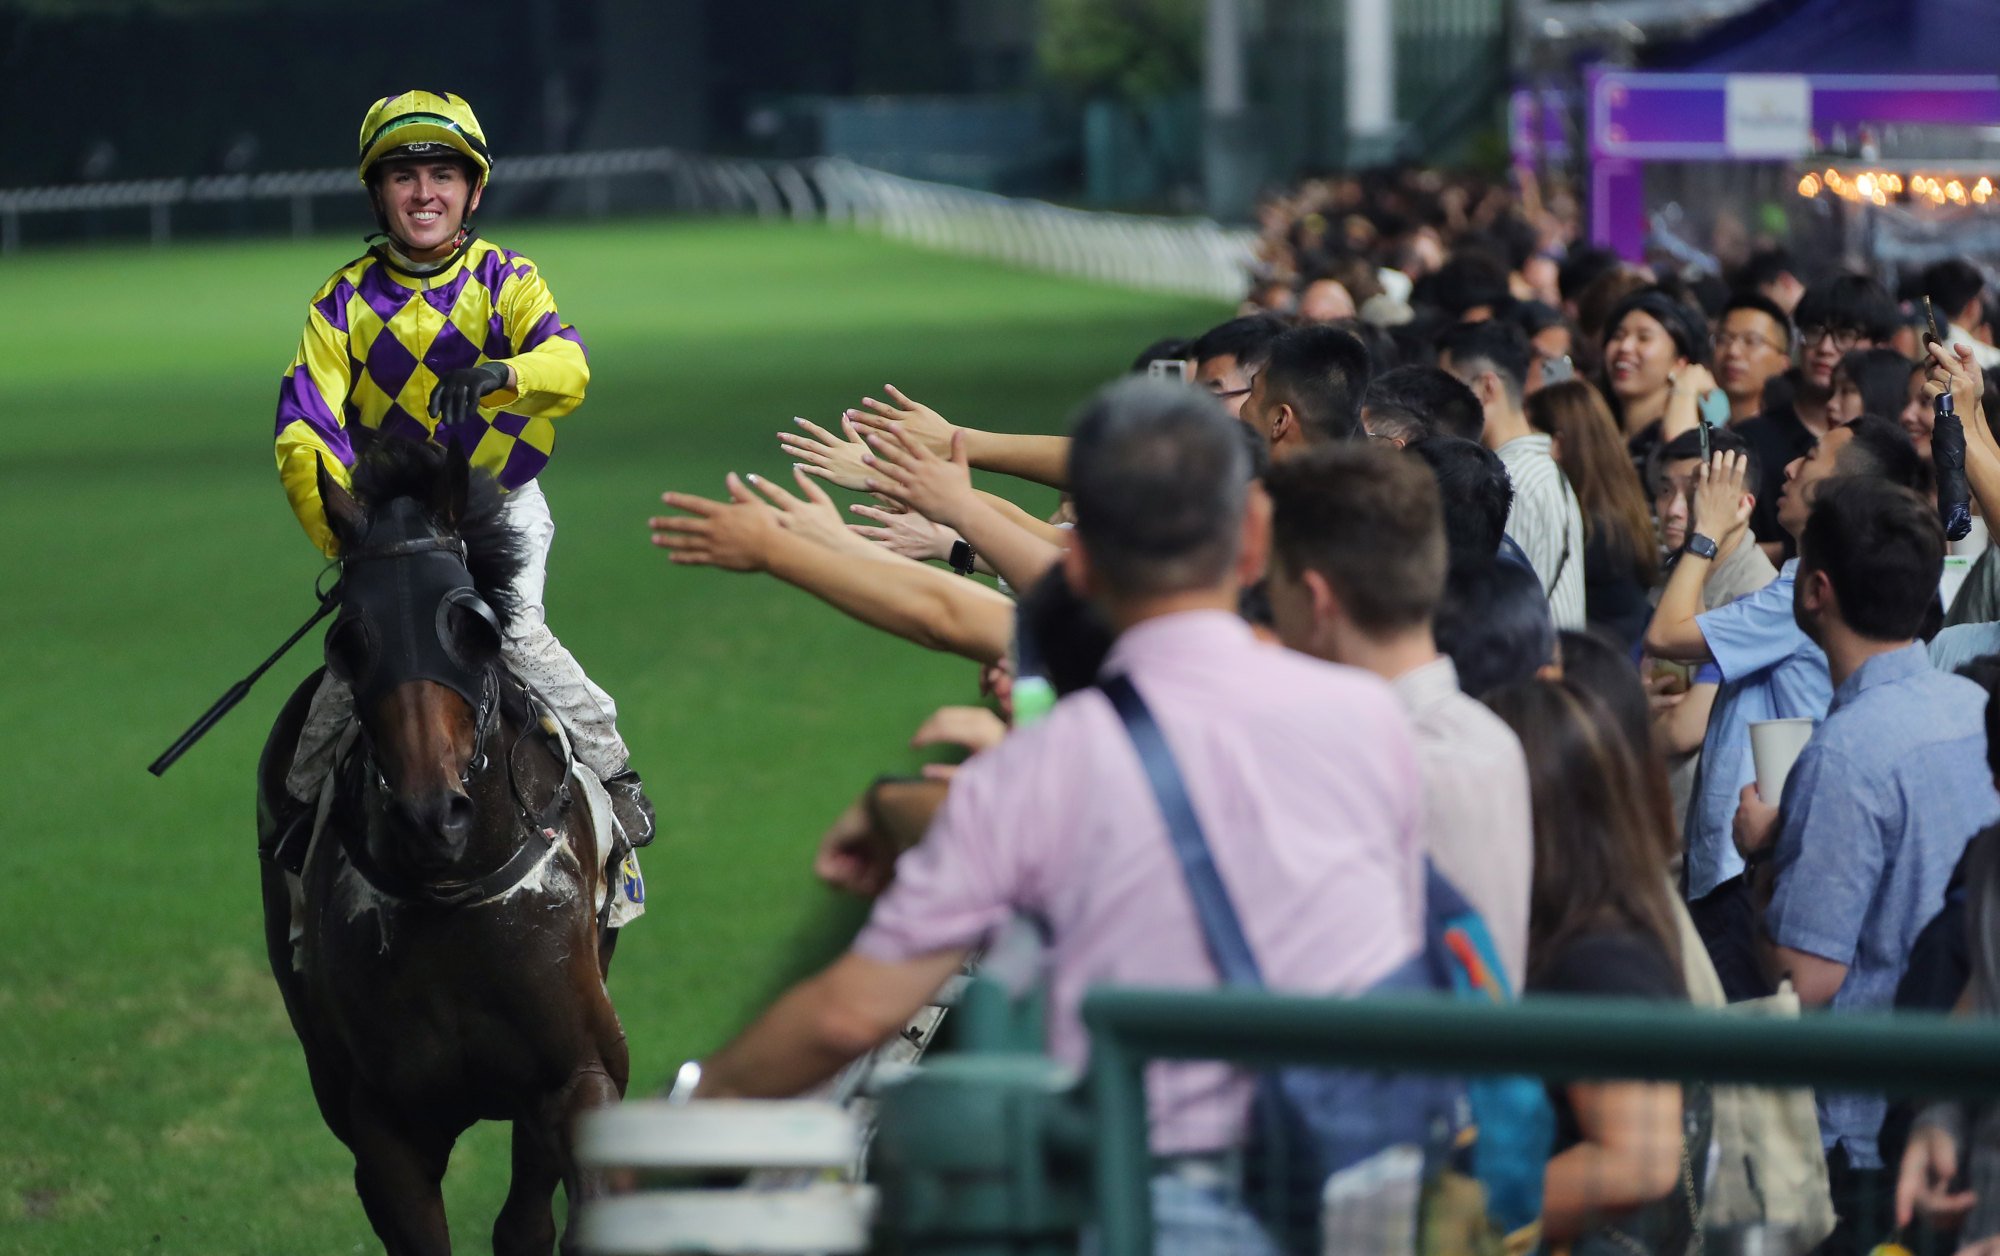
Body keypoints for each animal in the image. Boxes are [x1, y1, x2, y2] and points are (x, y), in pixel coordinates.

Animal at [258, 436, 628, 1248]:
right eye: (349, 639)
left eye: (474, 628)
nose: (433, 817)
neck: (453, 890)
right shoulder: (383, 1126)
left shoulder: (578, 1074)